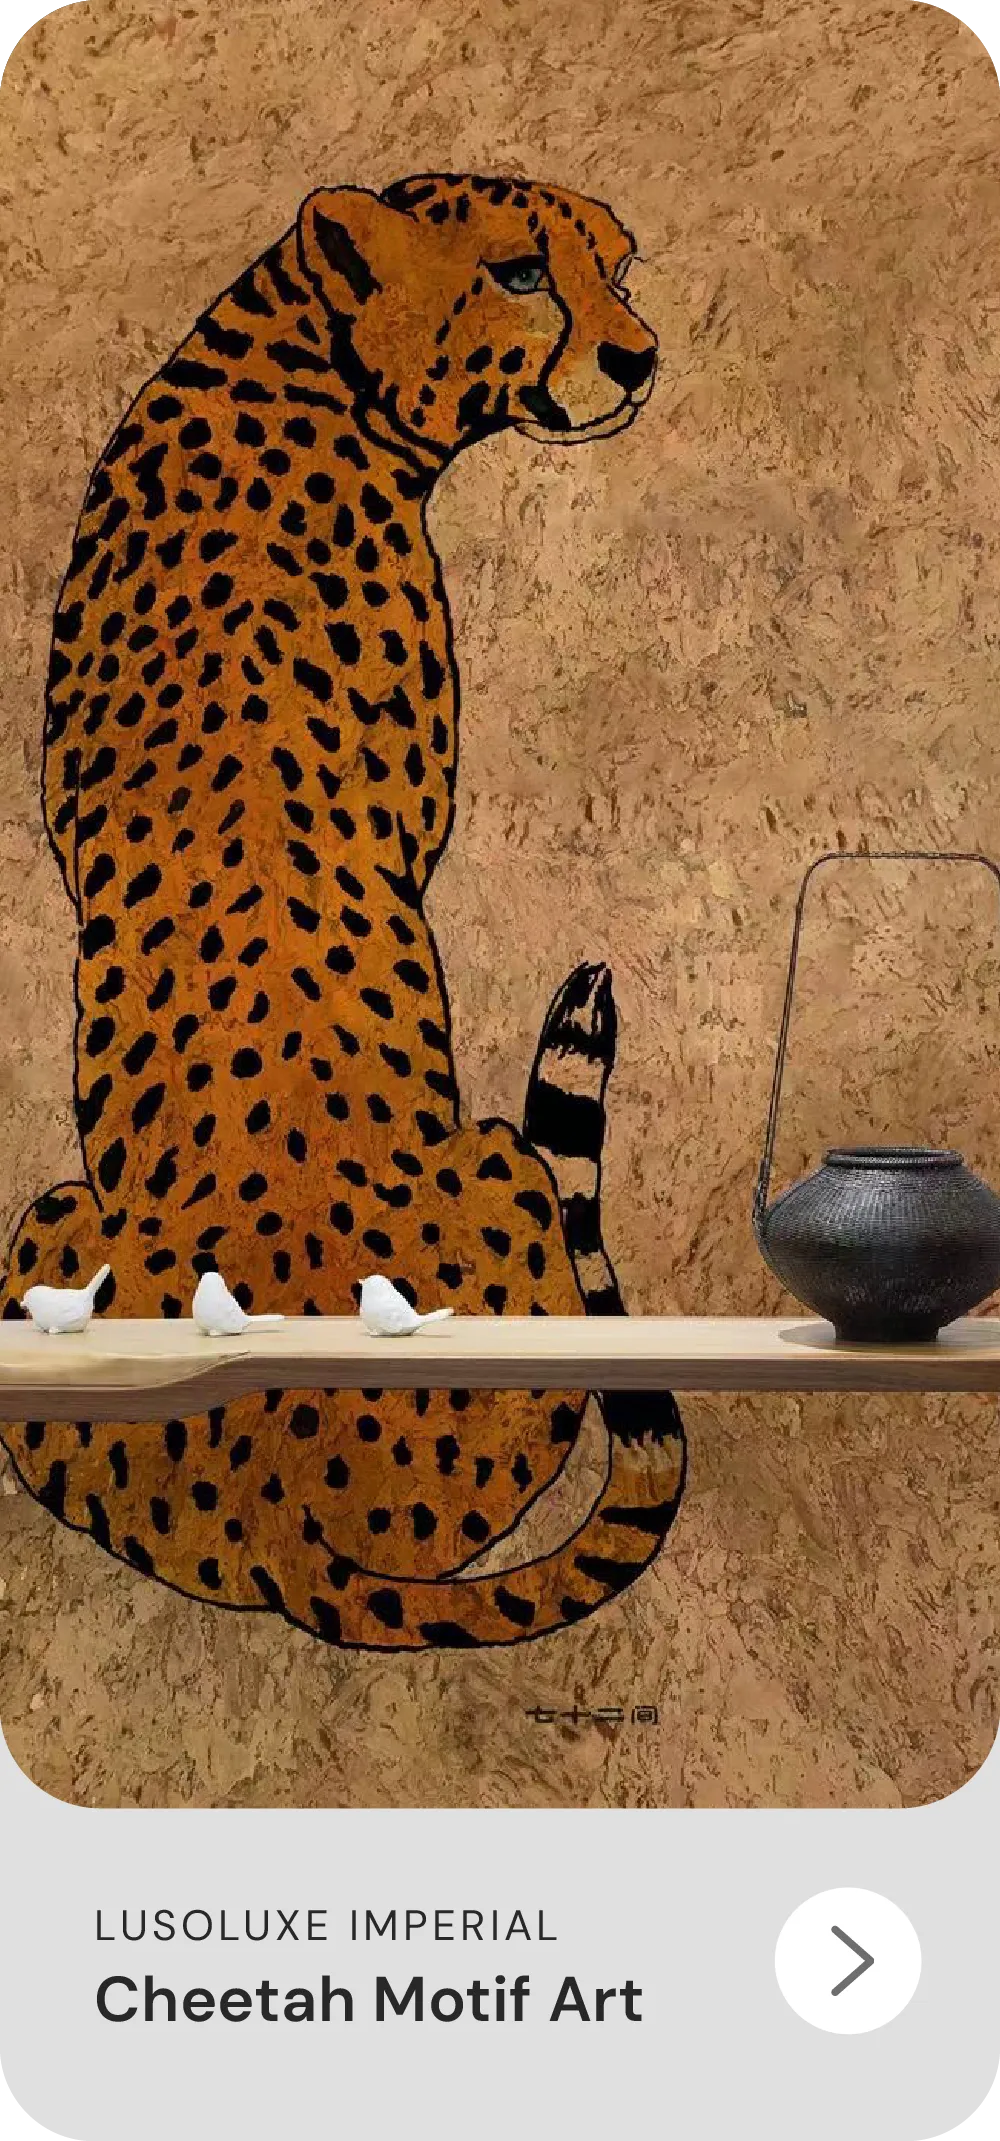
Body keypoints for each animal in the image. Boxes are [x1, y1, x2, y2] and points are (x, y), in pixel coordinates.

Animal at [0, 171, 686, 1650]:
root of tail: (284, 1516)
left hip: (47, 1231)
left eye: (615, 265)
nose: (640, 357)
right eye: (521, 274)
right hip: (498, 1164)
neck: (304, 361)